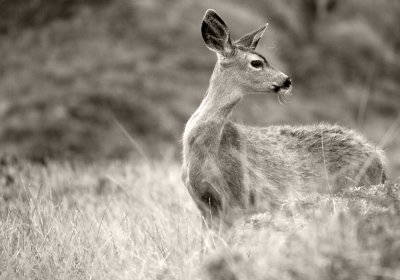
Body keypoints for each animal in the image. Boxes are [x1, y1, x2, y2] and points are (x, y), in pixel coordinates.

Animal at [181, 9, 388, 231]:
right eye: (256, 62)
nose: (286, 80)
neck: (207, 149)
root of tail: (379, 158)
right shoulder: (205, 205)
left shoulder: (238, 197)